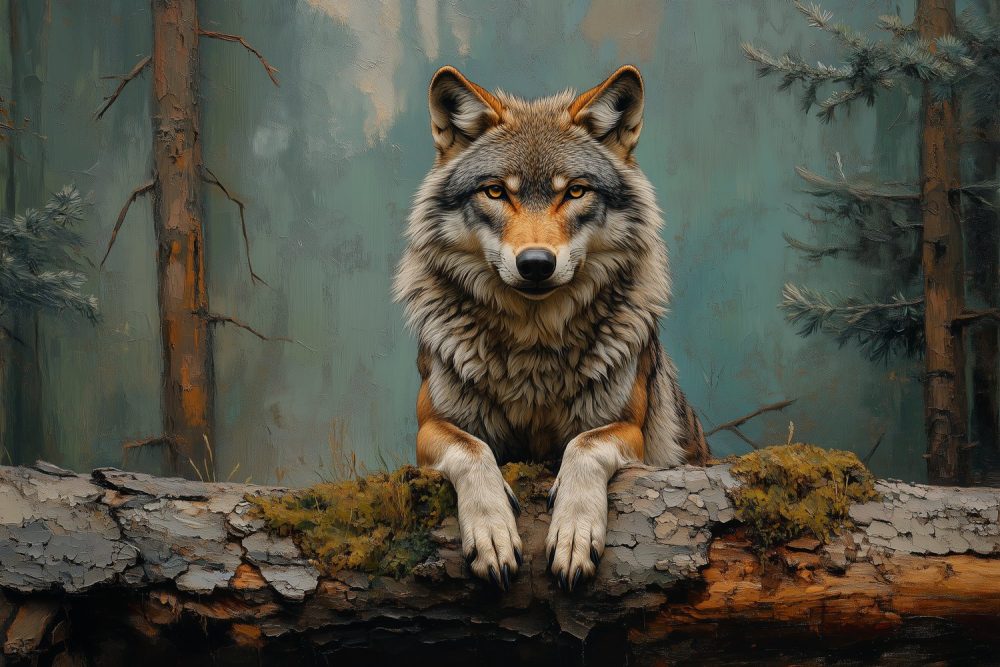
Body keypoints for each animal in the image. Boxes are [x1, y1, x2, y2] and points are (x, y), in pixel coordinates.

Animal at [394, 65, 709, 592]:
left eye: (575, 191)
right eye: (496, 191)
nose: (537, 264)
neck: (533, 349)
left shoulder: (628, 431)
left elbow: (584, 446)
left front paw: (575, 533)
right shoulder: (430, 429)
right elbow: (473, 450)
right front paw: (492, 533)